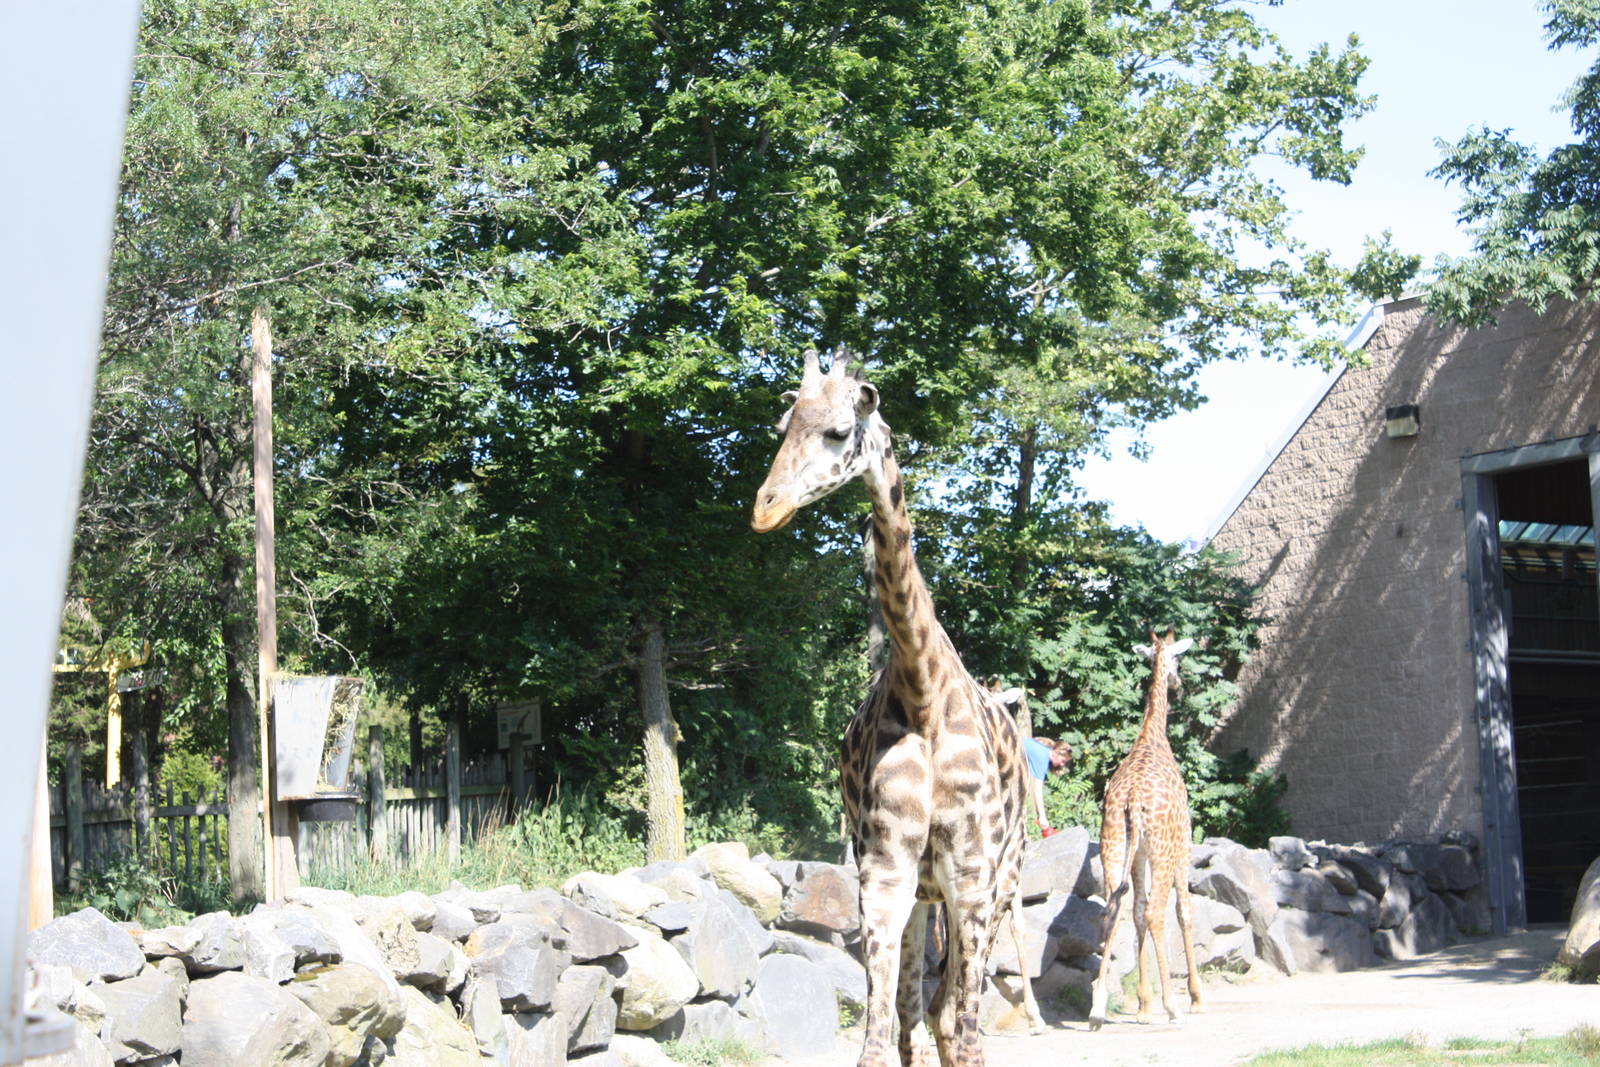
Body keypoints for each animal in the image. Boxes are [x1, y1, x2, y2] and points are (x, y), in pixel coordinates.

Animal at [751, 349, 1029, 1067]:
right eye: (783, 426)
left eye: (839, 430)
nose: (766, 508)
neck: (923, 692)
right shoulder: (884, 871)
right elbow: (880, 1035)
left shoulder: (972, 875)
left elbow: (965, 1030)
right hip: (925, 893)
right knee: (916, 1013)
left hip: (999, 880)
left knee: (950, 1016)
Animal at [1088, 629, 1204, 1030]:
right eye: (1178, 659)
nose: (1179, 683)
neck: (1152, 736)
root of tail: (1133, 800)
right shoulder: (1183, 844)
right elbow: (1184, 911)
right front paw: (1195, 998)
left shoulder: (1137, 856)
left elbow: (1135, 912)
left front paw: (1142, 1005)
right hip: (1163, 852)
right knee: (1156, 912)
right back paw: (1173, 1006)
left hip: (1112, 846)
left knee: (1113, 909)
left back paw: (1097, 1008)